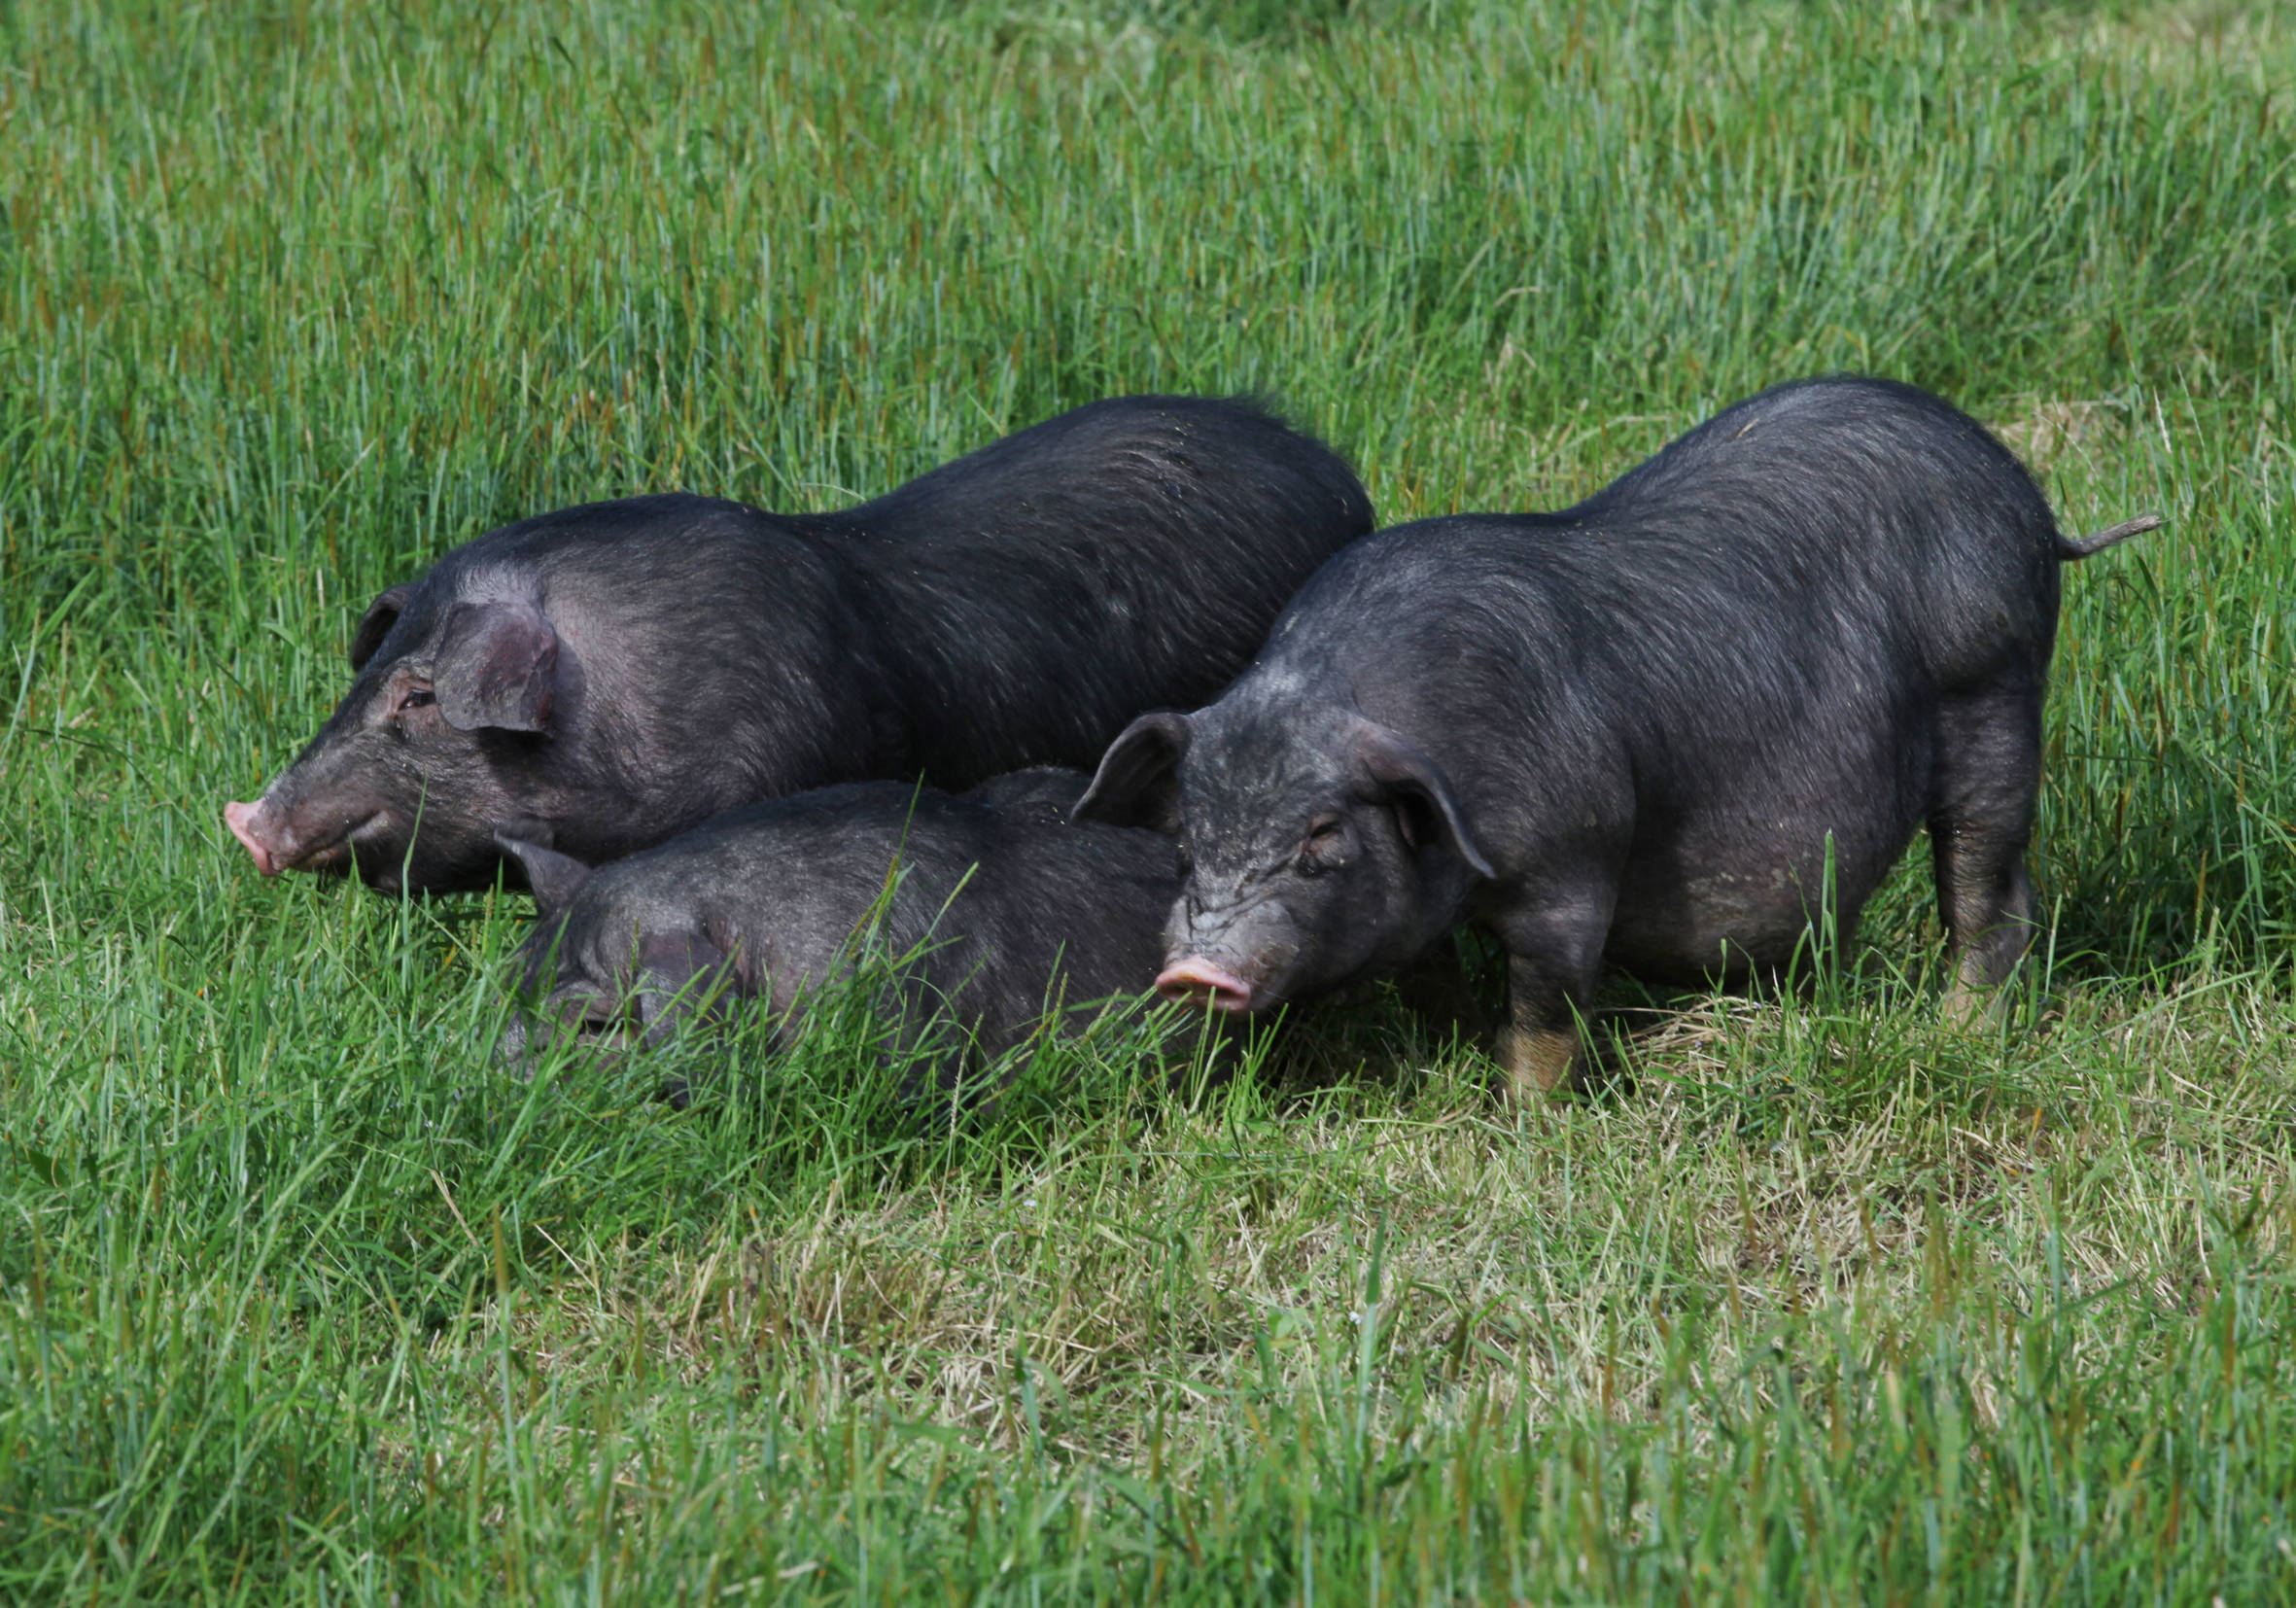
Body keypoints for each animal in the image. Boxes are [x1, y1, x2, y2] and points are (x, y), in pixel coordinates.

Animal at [1074, 376, 2148, 1098]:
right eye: (1187, 841)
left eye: (1320, 842)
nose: (1192, 968)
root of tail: (2027, 501)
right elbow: (1433, 980)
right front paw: (1456, 1055)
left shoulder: (1572, 856)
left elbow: (1549, 1001)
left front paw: (1521, 1112)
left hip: (1995, 682)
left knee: (1987, 881)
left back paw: (1962, 1034)